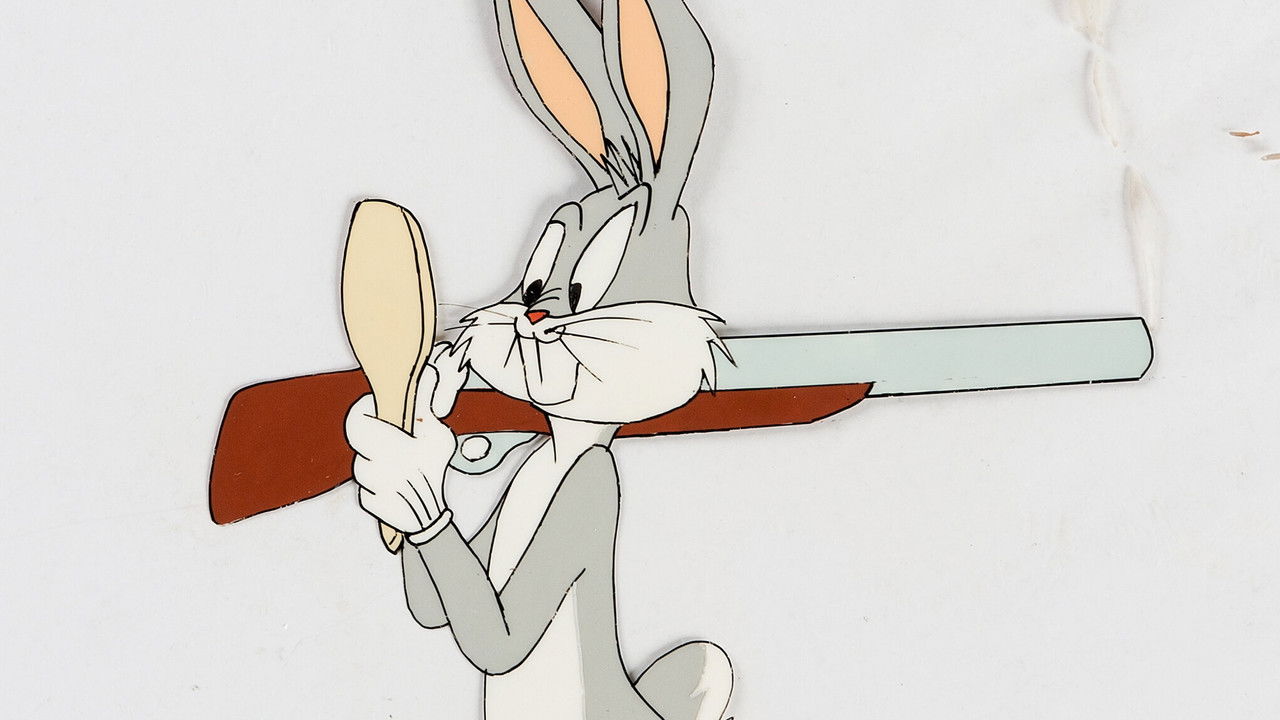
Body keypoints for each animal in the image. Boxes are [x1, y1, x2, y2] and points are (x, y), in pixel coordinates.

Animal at [343, 1, 733, 718]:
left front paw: (408, 476)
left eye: (584, 288)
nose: (534, 316)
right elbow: (438, 613)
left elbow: (500, 639)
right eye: (532, 283)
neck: (561, 450)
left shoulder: (592, 489)